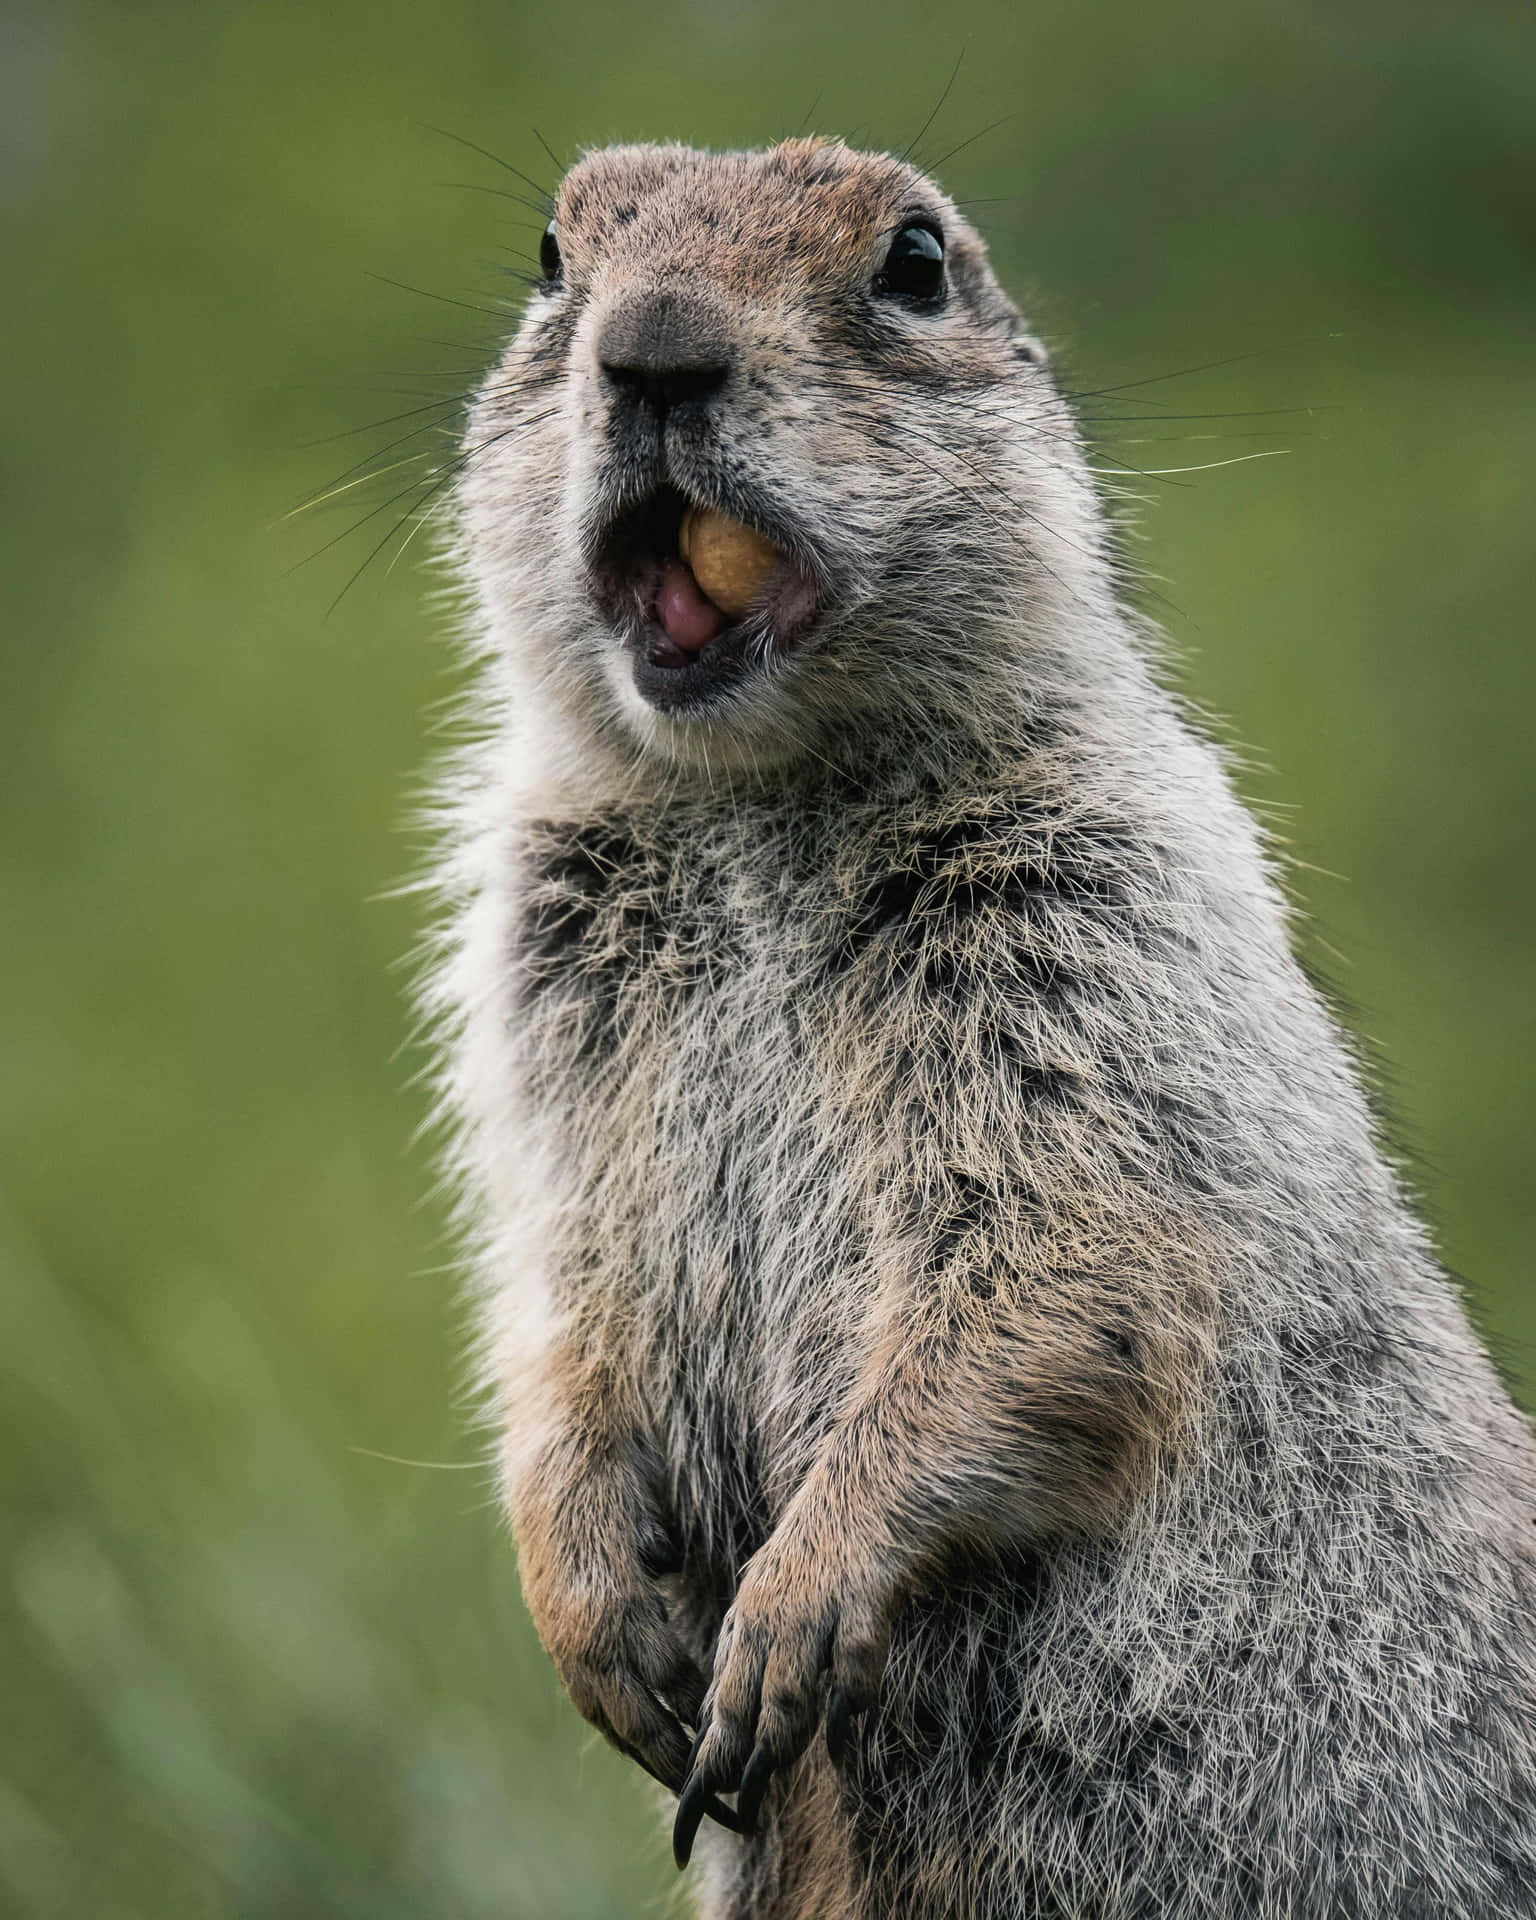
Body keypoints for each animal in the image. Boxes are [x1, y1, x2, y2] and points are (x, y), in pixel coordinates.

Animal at [420, 139, 1536, 1920]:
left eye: (916, 263)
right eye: (548, 256)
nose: (654, 347)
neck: (754, 807)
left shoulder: (1087, 922)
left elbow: (1057, 1267)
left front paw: (788, 1615)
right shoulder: (539, 987)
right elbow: (558, 1293)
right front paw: (596, 1613)